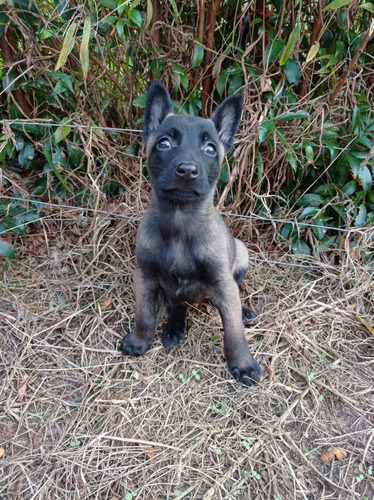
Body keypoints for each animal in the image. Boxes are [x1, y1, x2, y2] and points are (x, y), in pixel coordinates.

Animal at [121, 83, 262, 386]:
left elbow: (233, 331)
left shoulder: (223, 283)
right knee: (178, 305)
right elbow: (144, 315)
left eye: (210, 148)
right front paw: (139, 341)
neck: (179, 222)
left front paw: (243, 364)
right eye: (164, 143)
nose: (187, 170)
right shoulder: (145, 277)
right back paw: (175, 327)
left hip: (241, 253)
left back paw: (244, 311)